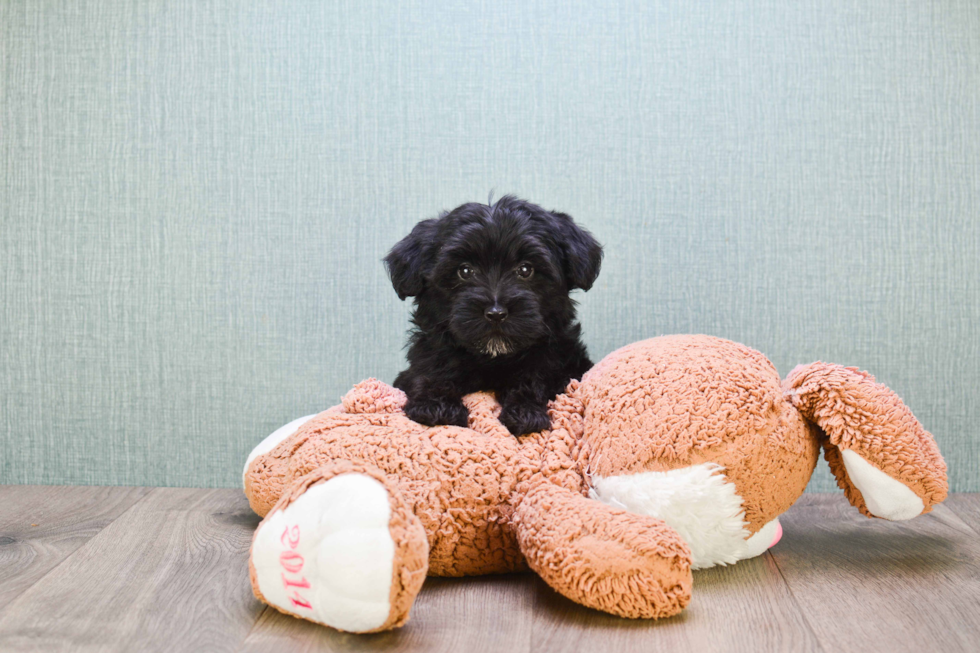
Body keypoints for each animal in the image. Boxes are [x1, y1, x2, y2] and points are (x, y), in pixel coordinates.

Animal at [384, 196, 600, 436]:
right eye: (464, 271)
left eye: (526, 269)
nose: (496, 313)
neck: (492, 359)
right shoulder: (429, 353)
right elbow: (430, 370)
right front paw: (435, 405)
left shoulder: (558, 360)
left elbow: (536, 376)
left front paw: (525, 412)